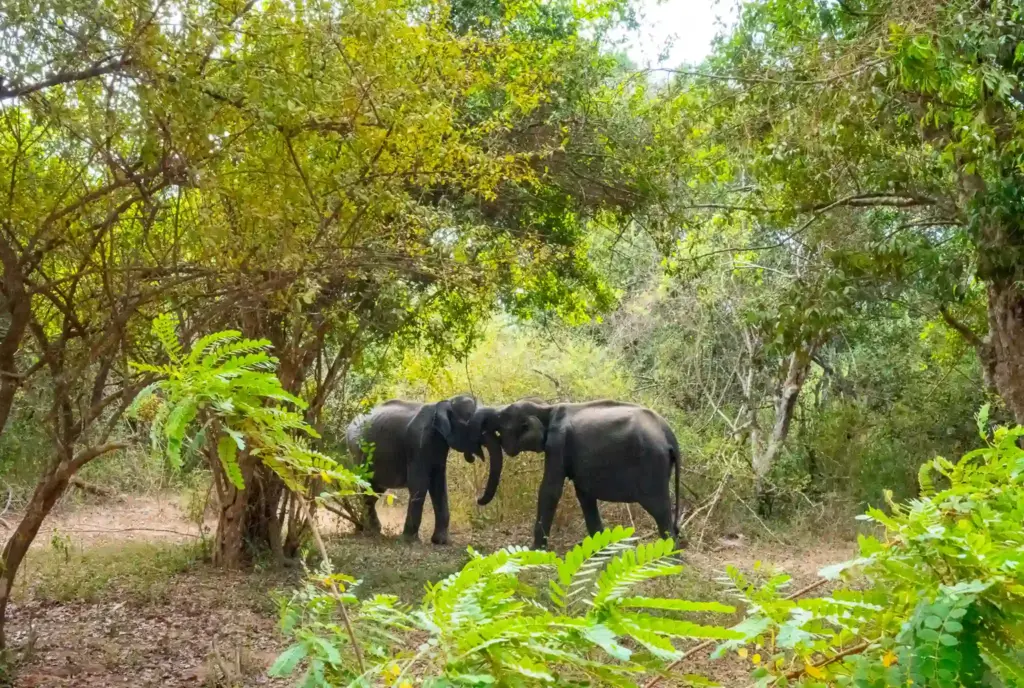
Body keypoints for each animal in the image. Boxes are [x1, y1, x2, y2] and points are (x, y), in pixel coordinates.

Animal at [346, 394, 503, 544]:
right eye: (476, 423)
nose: (478, 499)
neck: (444, 403)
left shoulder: (439, 445)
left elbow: (439, 485)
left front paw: (441, 541)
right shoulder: (418, 442)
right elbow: (419, 485)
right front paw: (409, 541)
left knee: (374, 490)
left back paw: (367, 528)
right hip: (357, 452)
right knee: (367, 487)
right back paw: (371, 530)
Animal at [472, 399, 681, 550]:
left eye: (500, 422)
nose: (478, 500)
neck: (546, 408)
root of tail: (669, 434)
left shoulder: (557, 444)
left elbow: (550, 490)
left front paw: (534, 551)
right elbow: (584, 495)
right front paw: (600, 548)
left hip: (652, 464)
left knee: (660, 510)